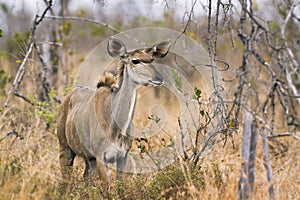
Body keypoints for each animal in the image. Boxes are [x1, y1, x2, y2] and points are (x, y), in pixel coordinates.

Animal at [56, 37, 171, 189]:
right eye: (135, 60)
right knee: (65, 181)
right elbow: (107, 188)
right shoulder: (101, 157)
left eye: (152, 59)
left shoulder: (122, 156)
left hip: (89, 160)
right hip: (65, 149)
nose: (159, 78)